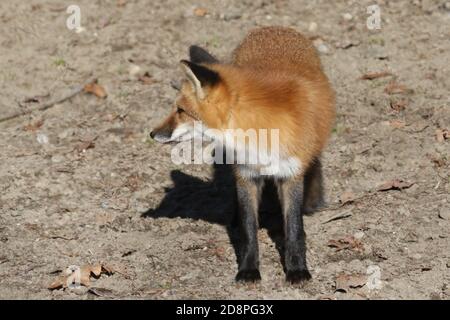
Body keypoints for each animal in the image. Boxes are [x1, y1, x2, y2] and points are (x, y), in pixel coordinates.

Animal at [149, 26, 336, 282]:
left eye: (180, 111)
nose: (152, 133)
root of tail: (273, 28)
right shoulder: (246, 175)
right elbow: (249, 231)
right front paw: (248, 270)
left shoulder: (290, 175)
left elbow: (294, 229)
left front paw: (297, 270)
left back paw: (313, 200)